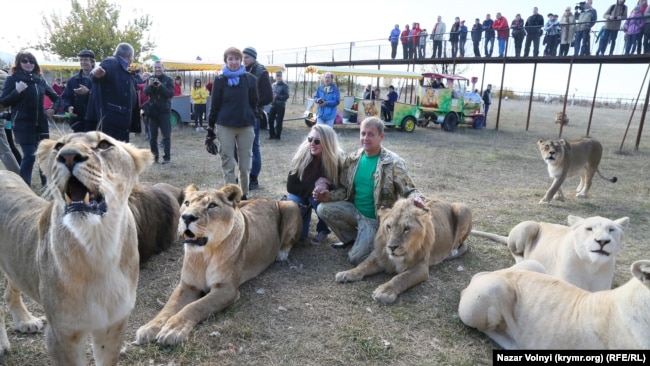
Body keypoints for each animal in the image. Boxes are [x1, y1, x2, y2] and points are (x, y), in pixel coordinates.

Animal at [0, 132, 152, 366]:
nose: (69, 156)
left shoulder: (112, 327)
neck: (98, 248)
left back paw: (26, 322)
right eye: (58, 146)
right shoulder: (61, 335)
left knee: (10, 292)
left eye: (104, 145)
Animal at [136, 184, 302, 344]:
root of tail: (267, 199)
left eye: (212, 205)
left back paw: (281, 254)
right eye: (187, 203)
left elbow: (196, 306)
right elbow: (169, 306)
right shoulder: (187, 285)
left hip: (290, 205)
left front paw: (173, 329)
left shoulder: (227, 289)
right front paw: (150, 327)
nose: (187, 217)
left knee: (290, 241)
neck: (204, 255)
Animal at [334, 197, 470, 304]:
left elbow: (402, 277)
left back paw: (452, 252)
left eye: (406, 229)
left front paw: (385, 291)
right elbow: (363, 265)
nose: (392, 247)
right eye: (388, 227)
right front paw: (347, 273)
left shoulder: (421, 267)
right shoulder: (380, 256)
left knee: (459, 242)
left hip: (462, 208)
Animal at [470, 214, 628, 292]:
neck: (591, 266)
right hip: (529, 225)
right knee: (515, 250)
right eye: (589, 229)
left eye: (611, 230)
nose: (603, 241)